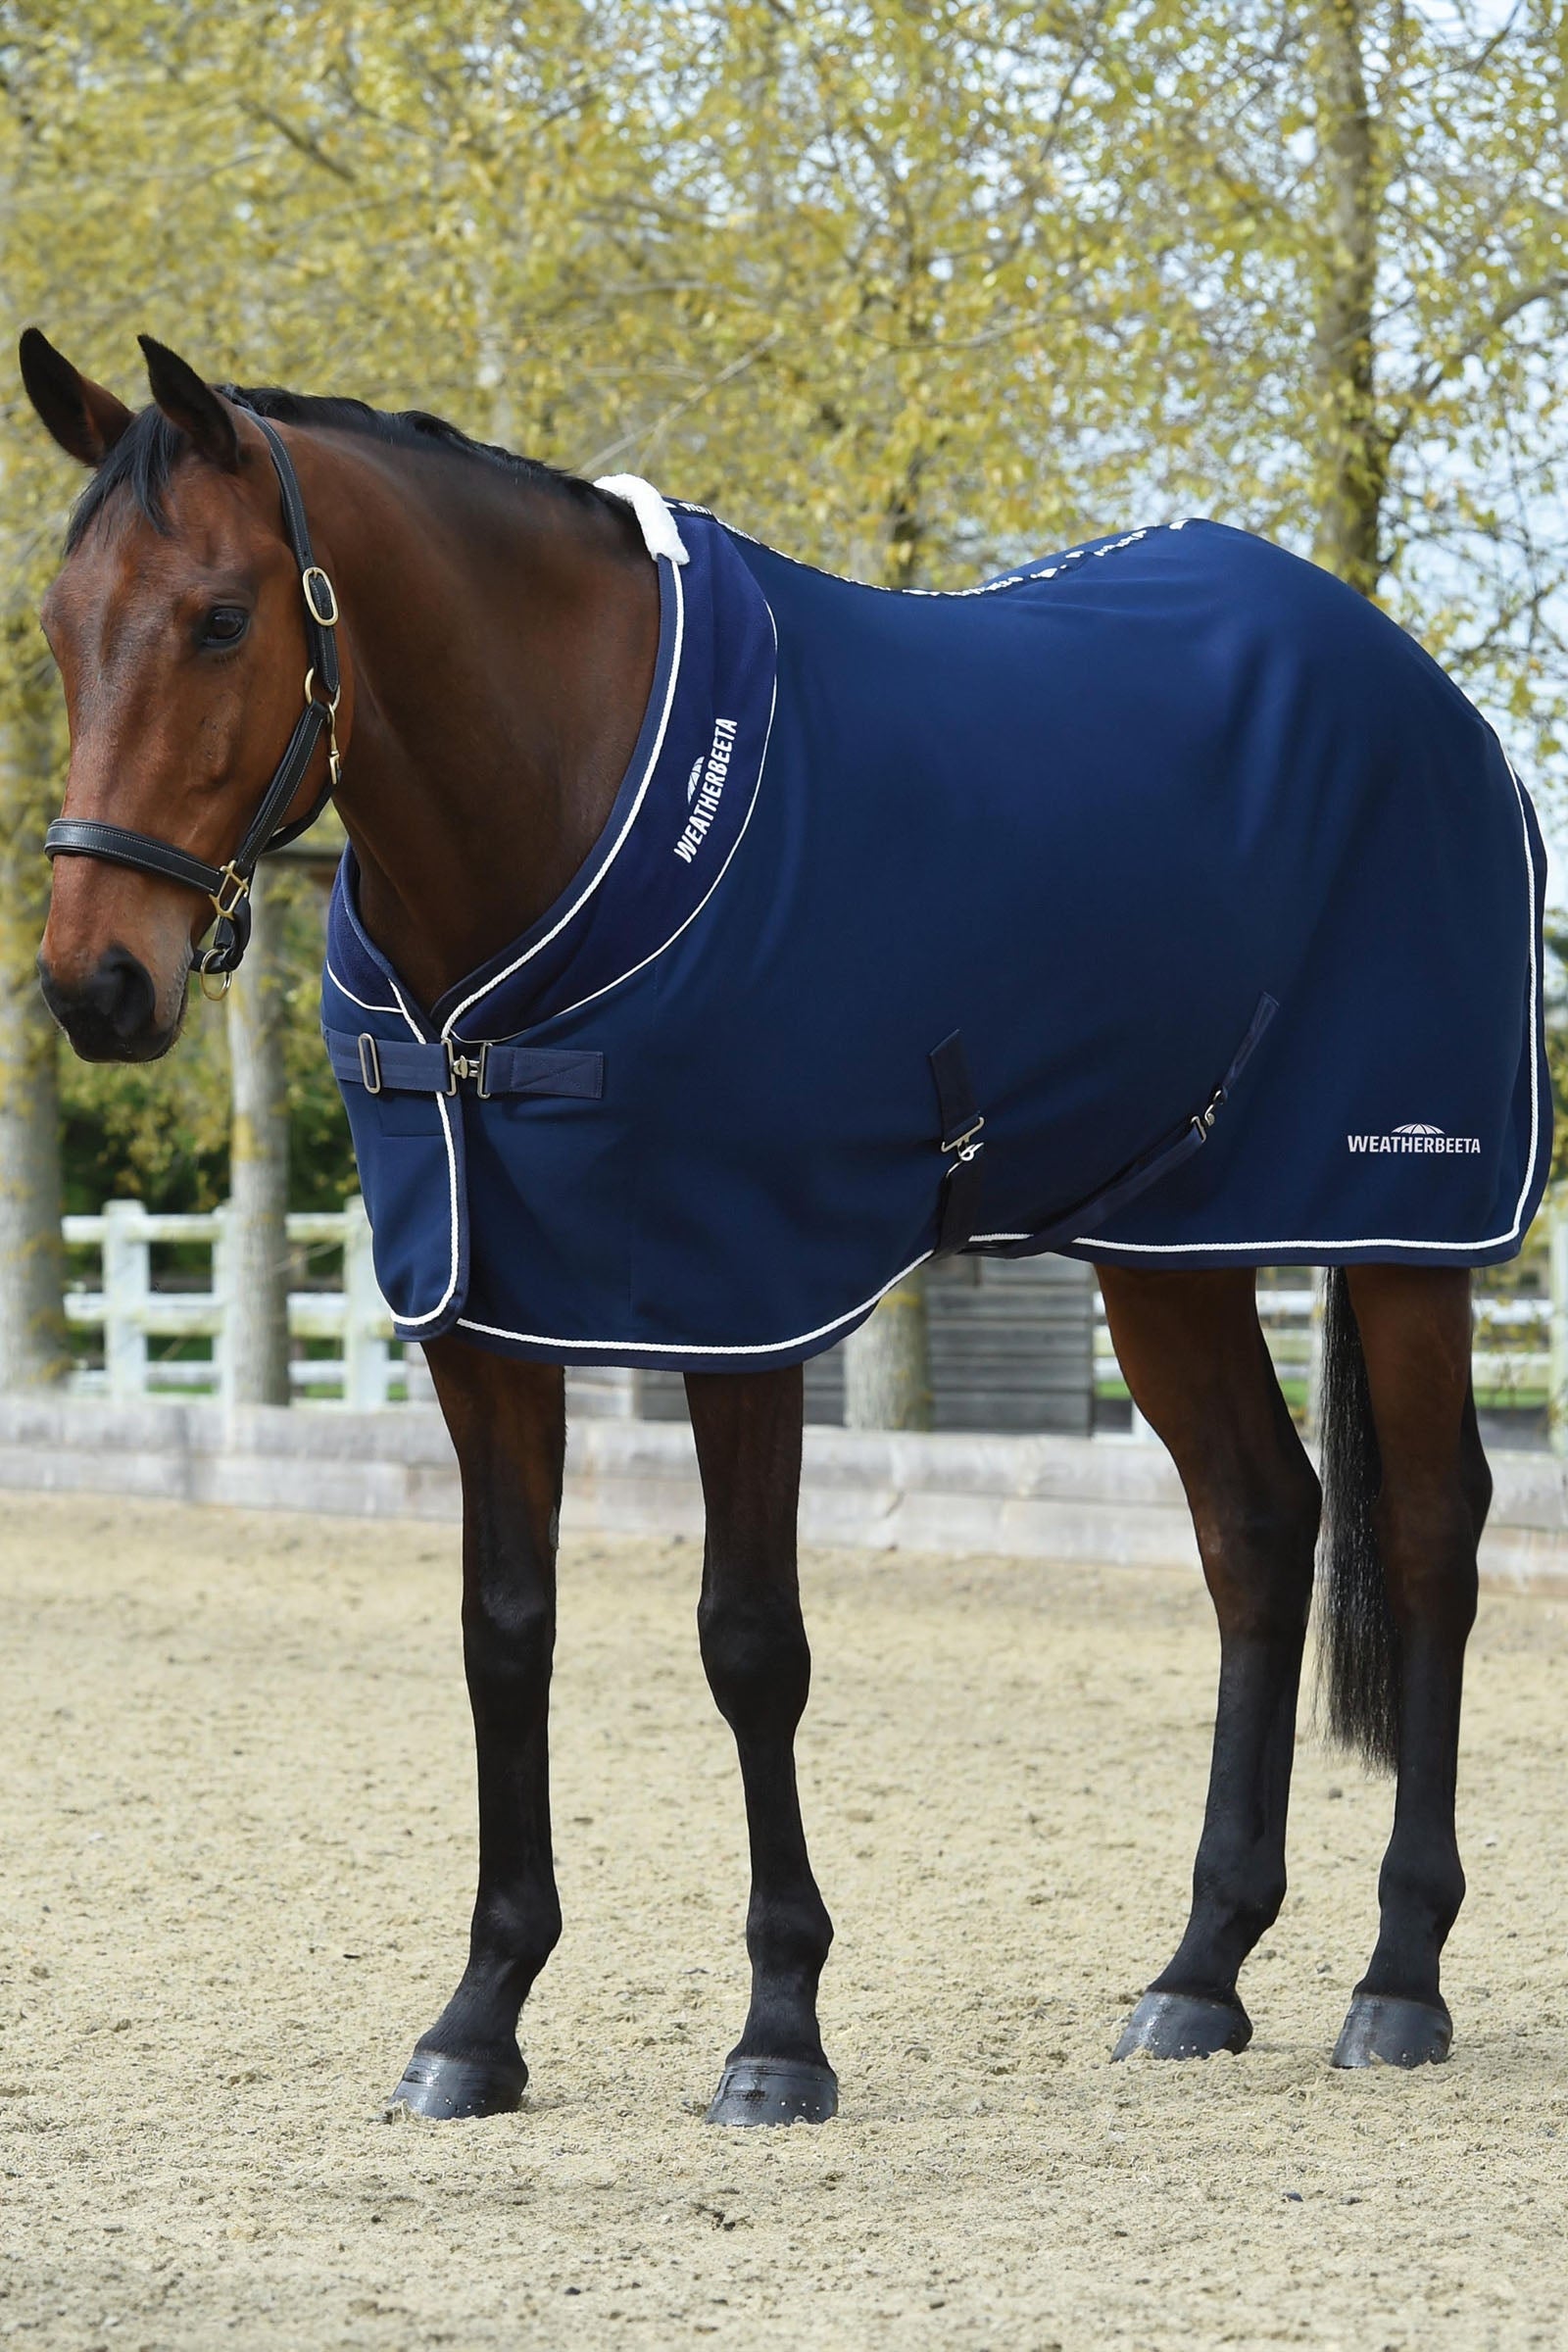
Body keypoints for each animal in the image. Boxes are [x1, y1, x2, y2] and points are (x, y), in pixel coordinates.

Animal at [18, 326, 1545, 2124]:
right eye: (59, 622)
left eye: (220, 617)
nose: (95, 985)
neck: (562, 803)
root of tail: (1429, 699)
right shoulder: (481, 1318)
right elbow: (503, 1635)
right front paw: (479, 2019)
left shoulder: (736, 1299)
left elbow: (750, 1644)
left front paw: (778, 2033)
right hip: (1169, 1250)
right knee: (1256, 1523)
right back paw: (1199, 1973)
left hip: (1401, 1223)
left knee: (1433, 1529)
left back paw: (1399, 1977)